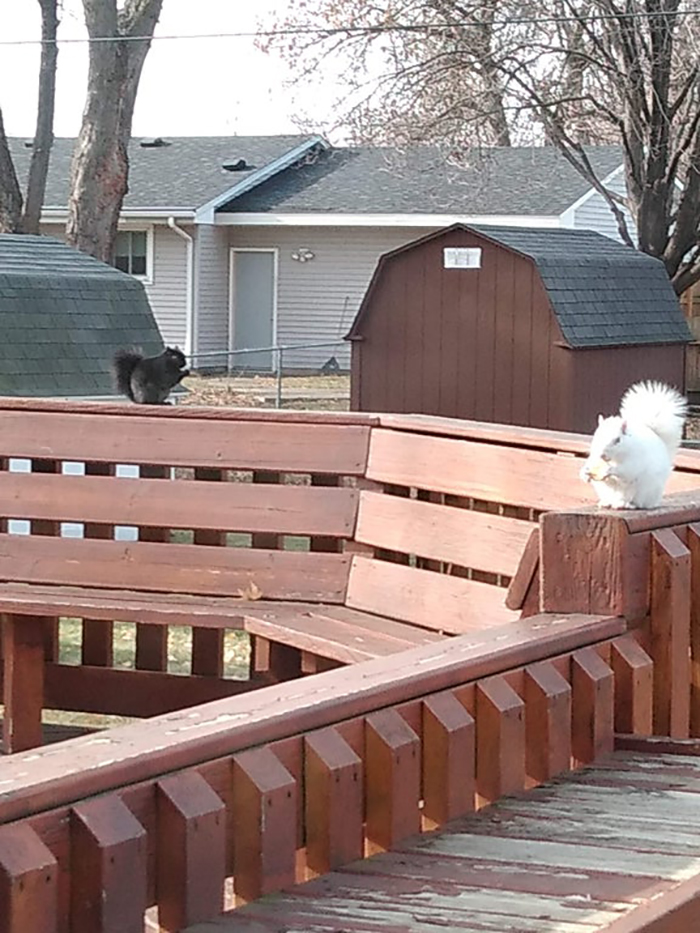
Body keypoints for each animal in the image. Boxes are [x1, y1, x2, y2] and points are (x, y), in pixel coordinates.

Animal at [580, 380, 688, 510]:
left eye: (618, 440)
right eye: (596, 435)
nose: (601, 455)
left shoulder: (634, 460)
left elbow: (627, 470)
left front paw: (609, 470)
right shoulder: (594, 458)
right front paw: (585, 472)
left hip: (643, 491)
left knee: (637, 503)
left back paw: (625, 505)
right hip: (605, 491)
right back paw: (606, 503)